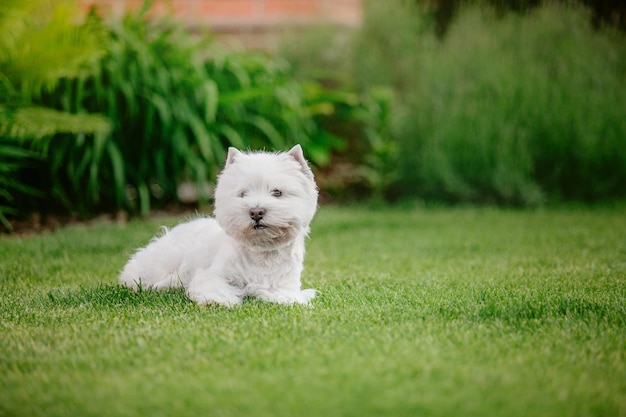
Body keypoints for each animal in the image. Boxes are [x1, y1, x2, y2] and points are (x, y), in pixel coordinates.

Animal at [118, 145, 316, 306]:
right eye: (242, 194)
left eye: (277, 192)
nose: (256, 212)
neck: (262, 255)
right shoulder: (212, 274)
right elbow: (214, 287)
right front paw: (217, 301)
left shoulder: (284, 286)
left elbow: (280, 295)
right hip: (164, 259)